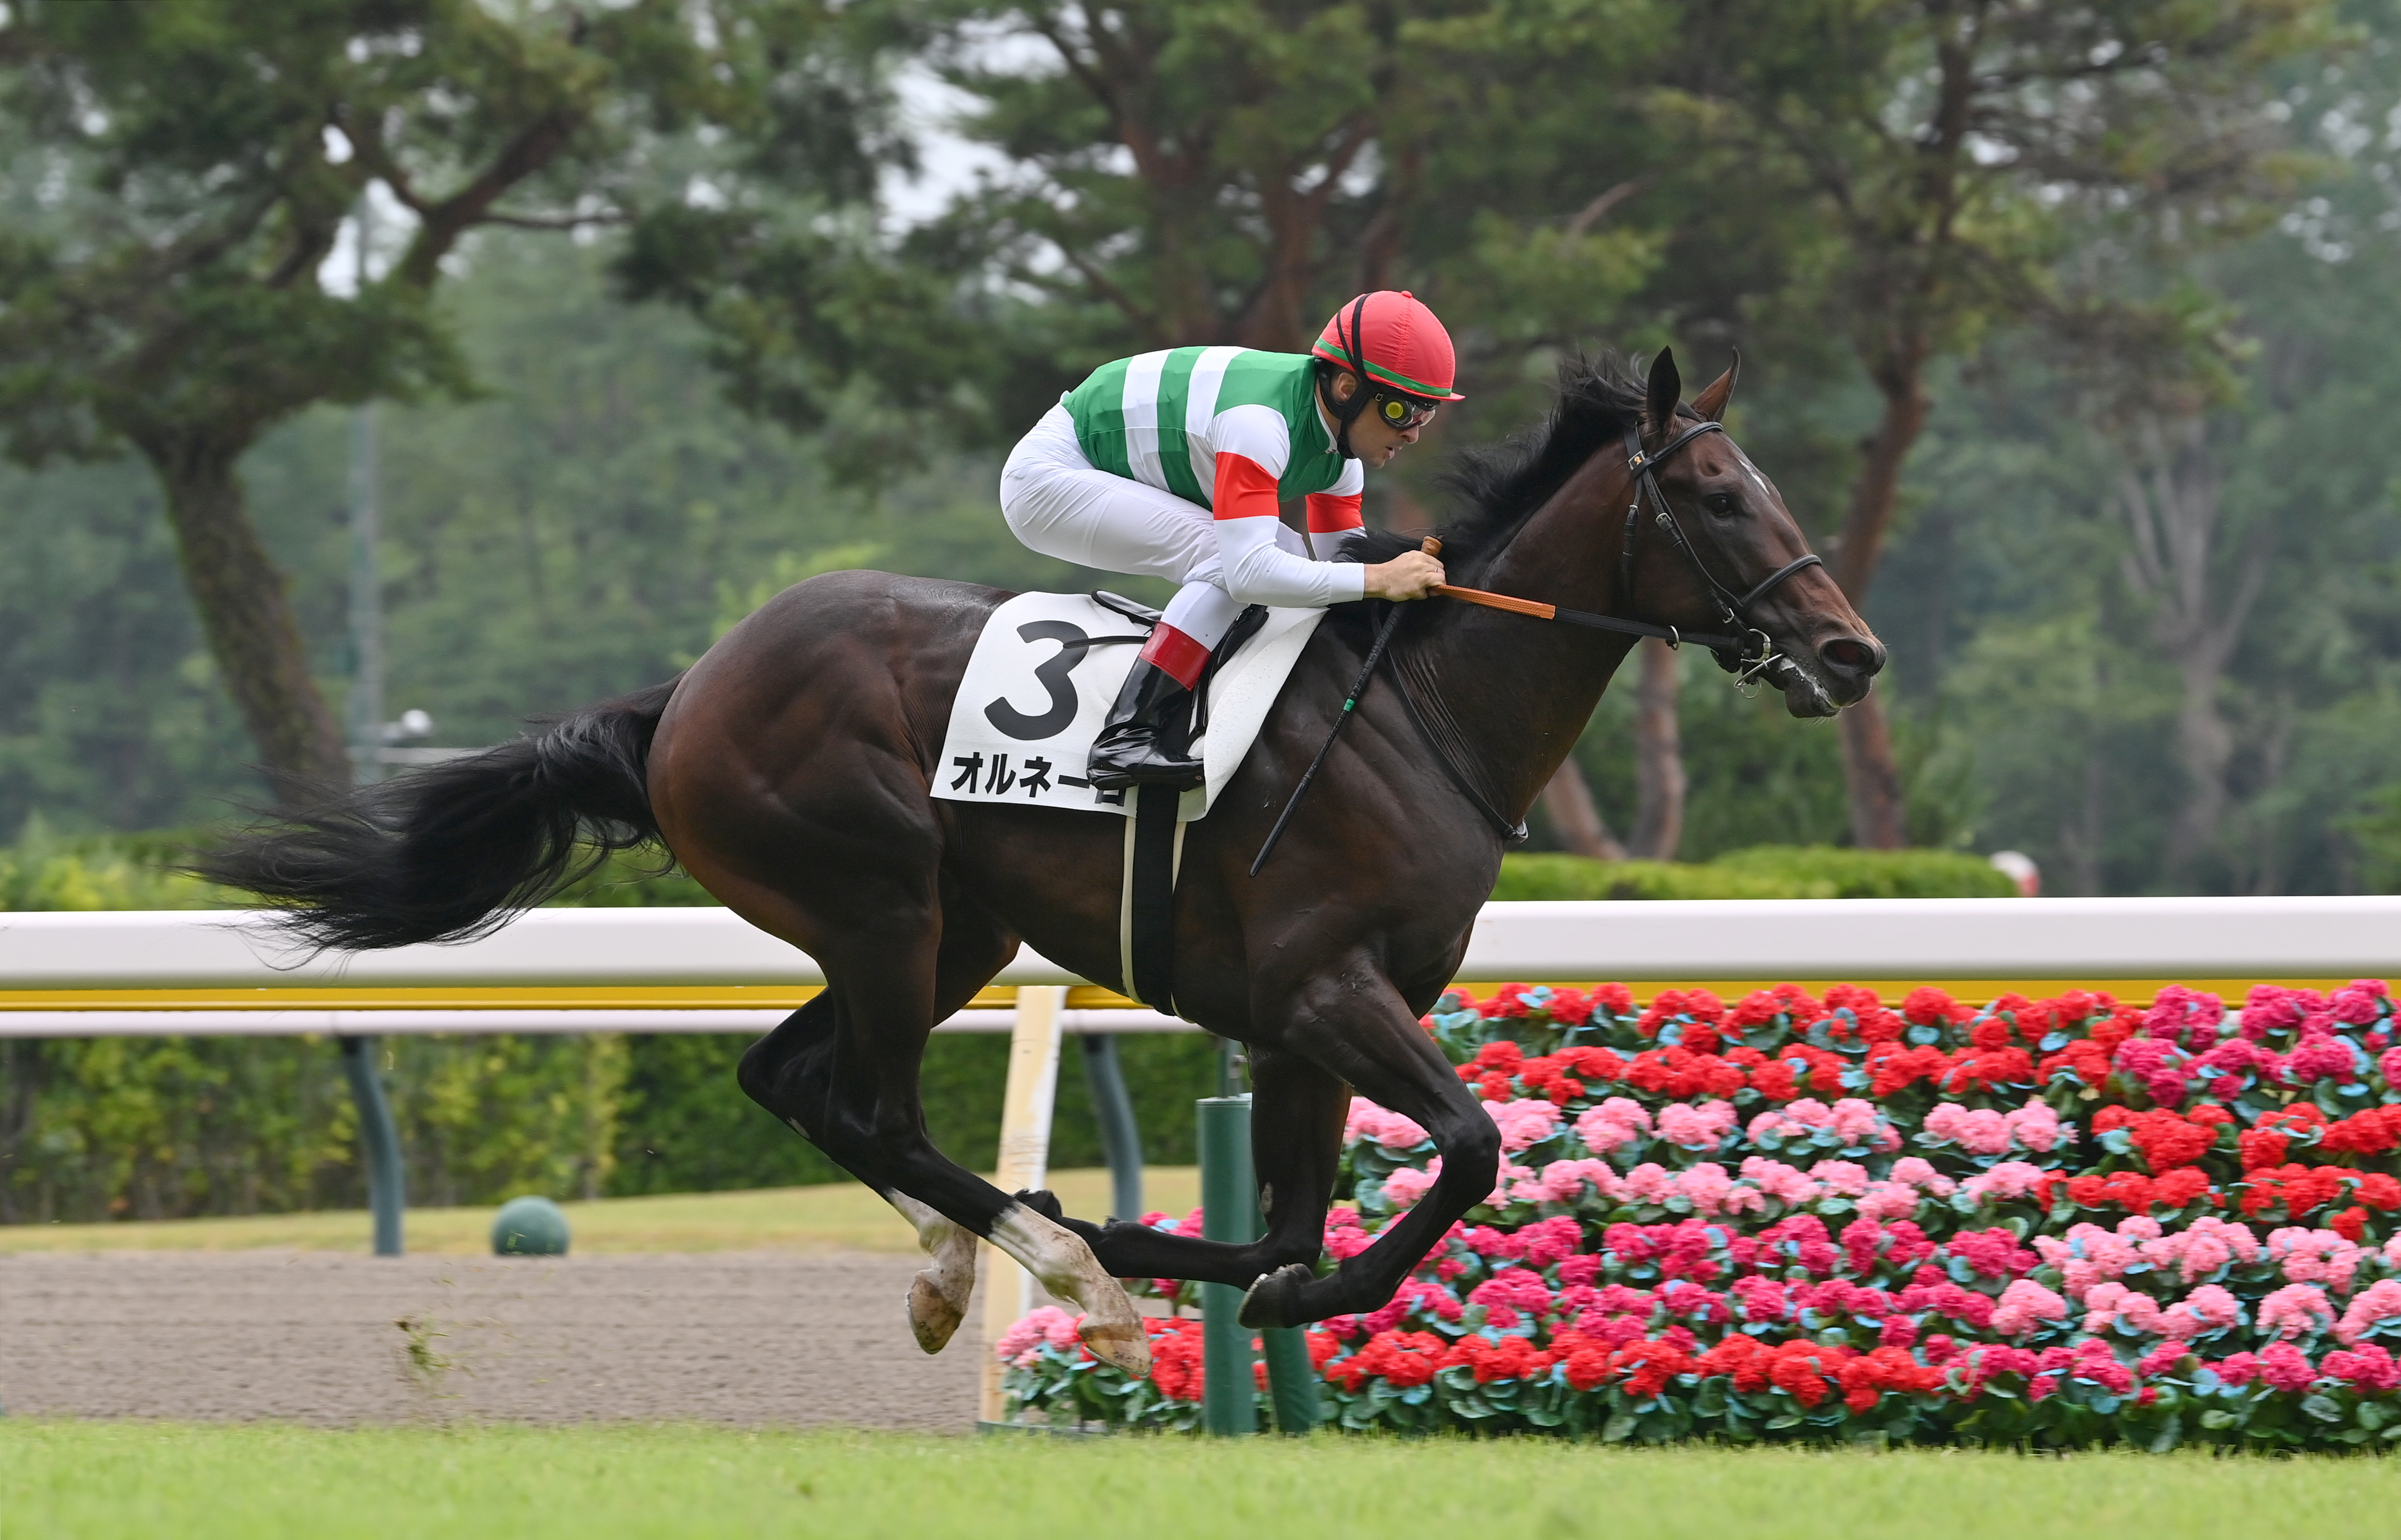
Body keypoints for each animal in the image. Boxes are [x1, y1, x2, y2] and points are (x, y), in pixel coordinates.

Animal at [204, 349, 1884, 1379]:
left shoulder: (1313, 1019)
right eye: (1719, 497)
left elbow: (1289, 1218)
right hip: (881, 898)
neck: (1419, 712)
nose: (1848, 653)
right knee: (867, 1105)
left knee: (795, 1082)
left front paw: (1194, 1256)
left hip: (944, 931)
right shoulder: (1322, 988)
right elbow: (1463, 1150)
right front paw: (1158, 1264)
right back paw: (1062, 1275)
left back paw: (969, 1262)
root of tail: (682, 691)